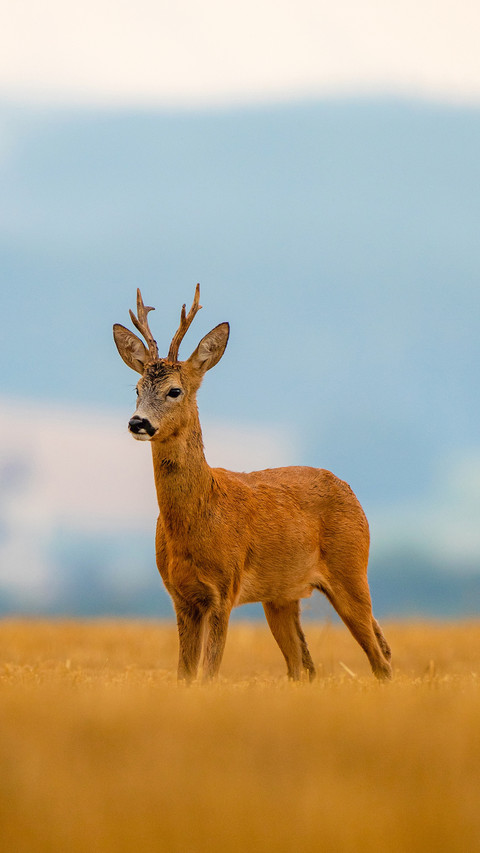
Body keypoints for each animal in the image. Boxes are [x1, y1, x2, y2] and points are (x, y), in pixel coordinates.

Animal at [113, 285, 392, 683]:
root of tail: (350, 491)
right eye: (136, 389)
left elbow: (209, 674)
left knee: (380, 658)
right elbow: (184, 675)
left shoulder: (224, 588)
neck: (198, 517)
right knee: (303, 666)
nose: (138, 422)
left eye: (174, 391)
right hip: (282, 596)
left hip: (352, 568)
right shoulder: (180, 596)